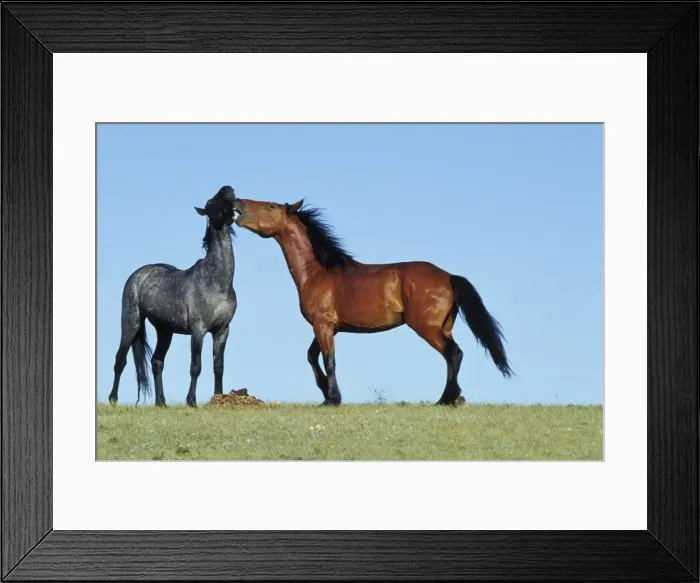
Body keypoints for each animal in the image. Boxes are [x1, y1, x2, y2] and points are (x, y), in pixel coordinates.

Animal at [109, 185, 238, 407]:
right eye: (210, 202)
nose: (227, 189)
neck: (216, 282)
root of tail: (139, 274)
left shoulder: (222, 330)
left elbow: (218, 366)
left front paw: (218, 398)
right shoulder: (198, 331)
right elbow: (196, 366)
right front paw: (191, 401)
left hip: (165, 331)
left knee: (157, 361)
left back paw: (161, 401)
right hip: (131, 323)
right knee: (120, 360)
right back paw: (113, 399)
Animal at [231, 197, 512, 406]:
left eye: (271, 206)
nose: (237, 203)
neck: (318, 272)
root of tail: (450, 277)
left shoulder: (323, 326)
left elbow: (329, 360)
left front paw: (332, 399)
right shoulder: (328, 327)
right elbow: (312, 356)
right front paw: (325, 392)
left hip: (427, 327)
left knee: (453, 353)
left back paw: (446, 399)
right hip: (444, 327)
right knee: (453, 355)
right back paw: (455, 397)